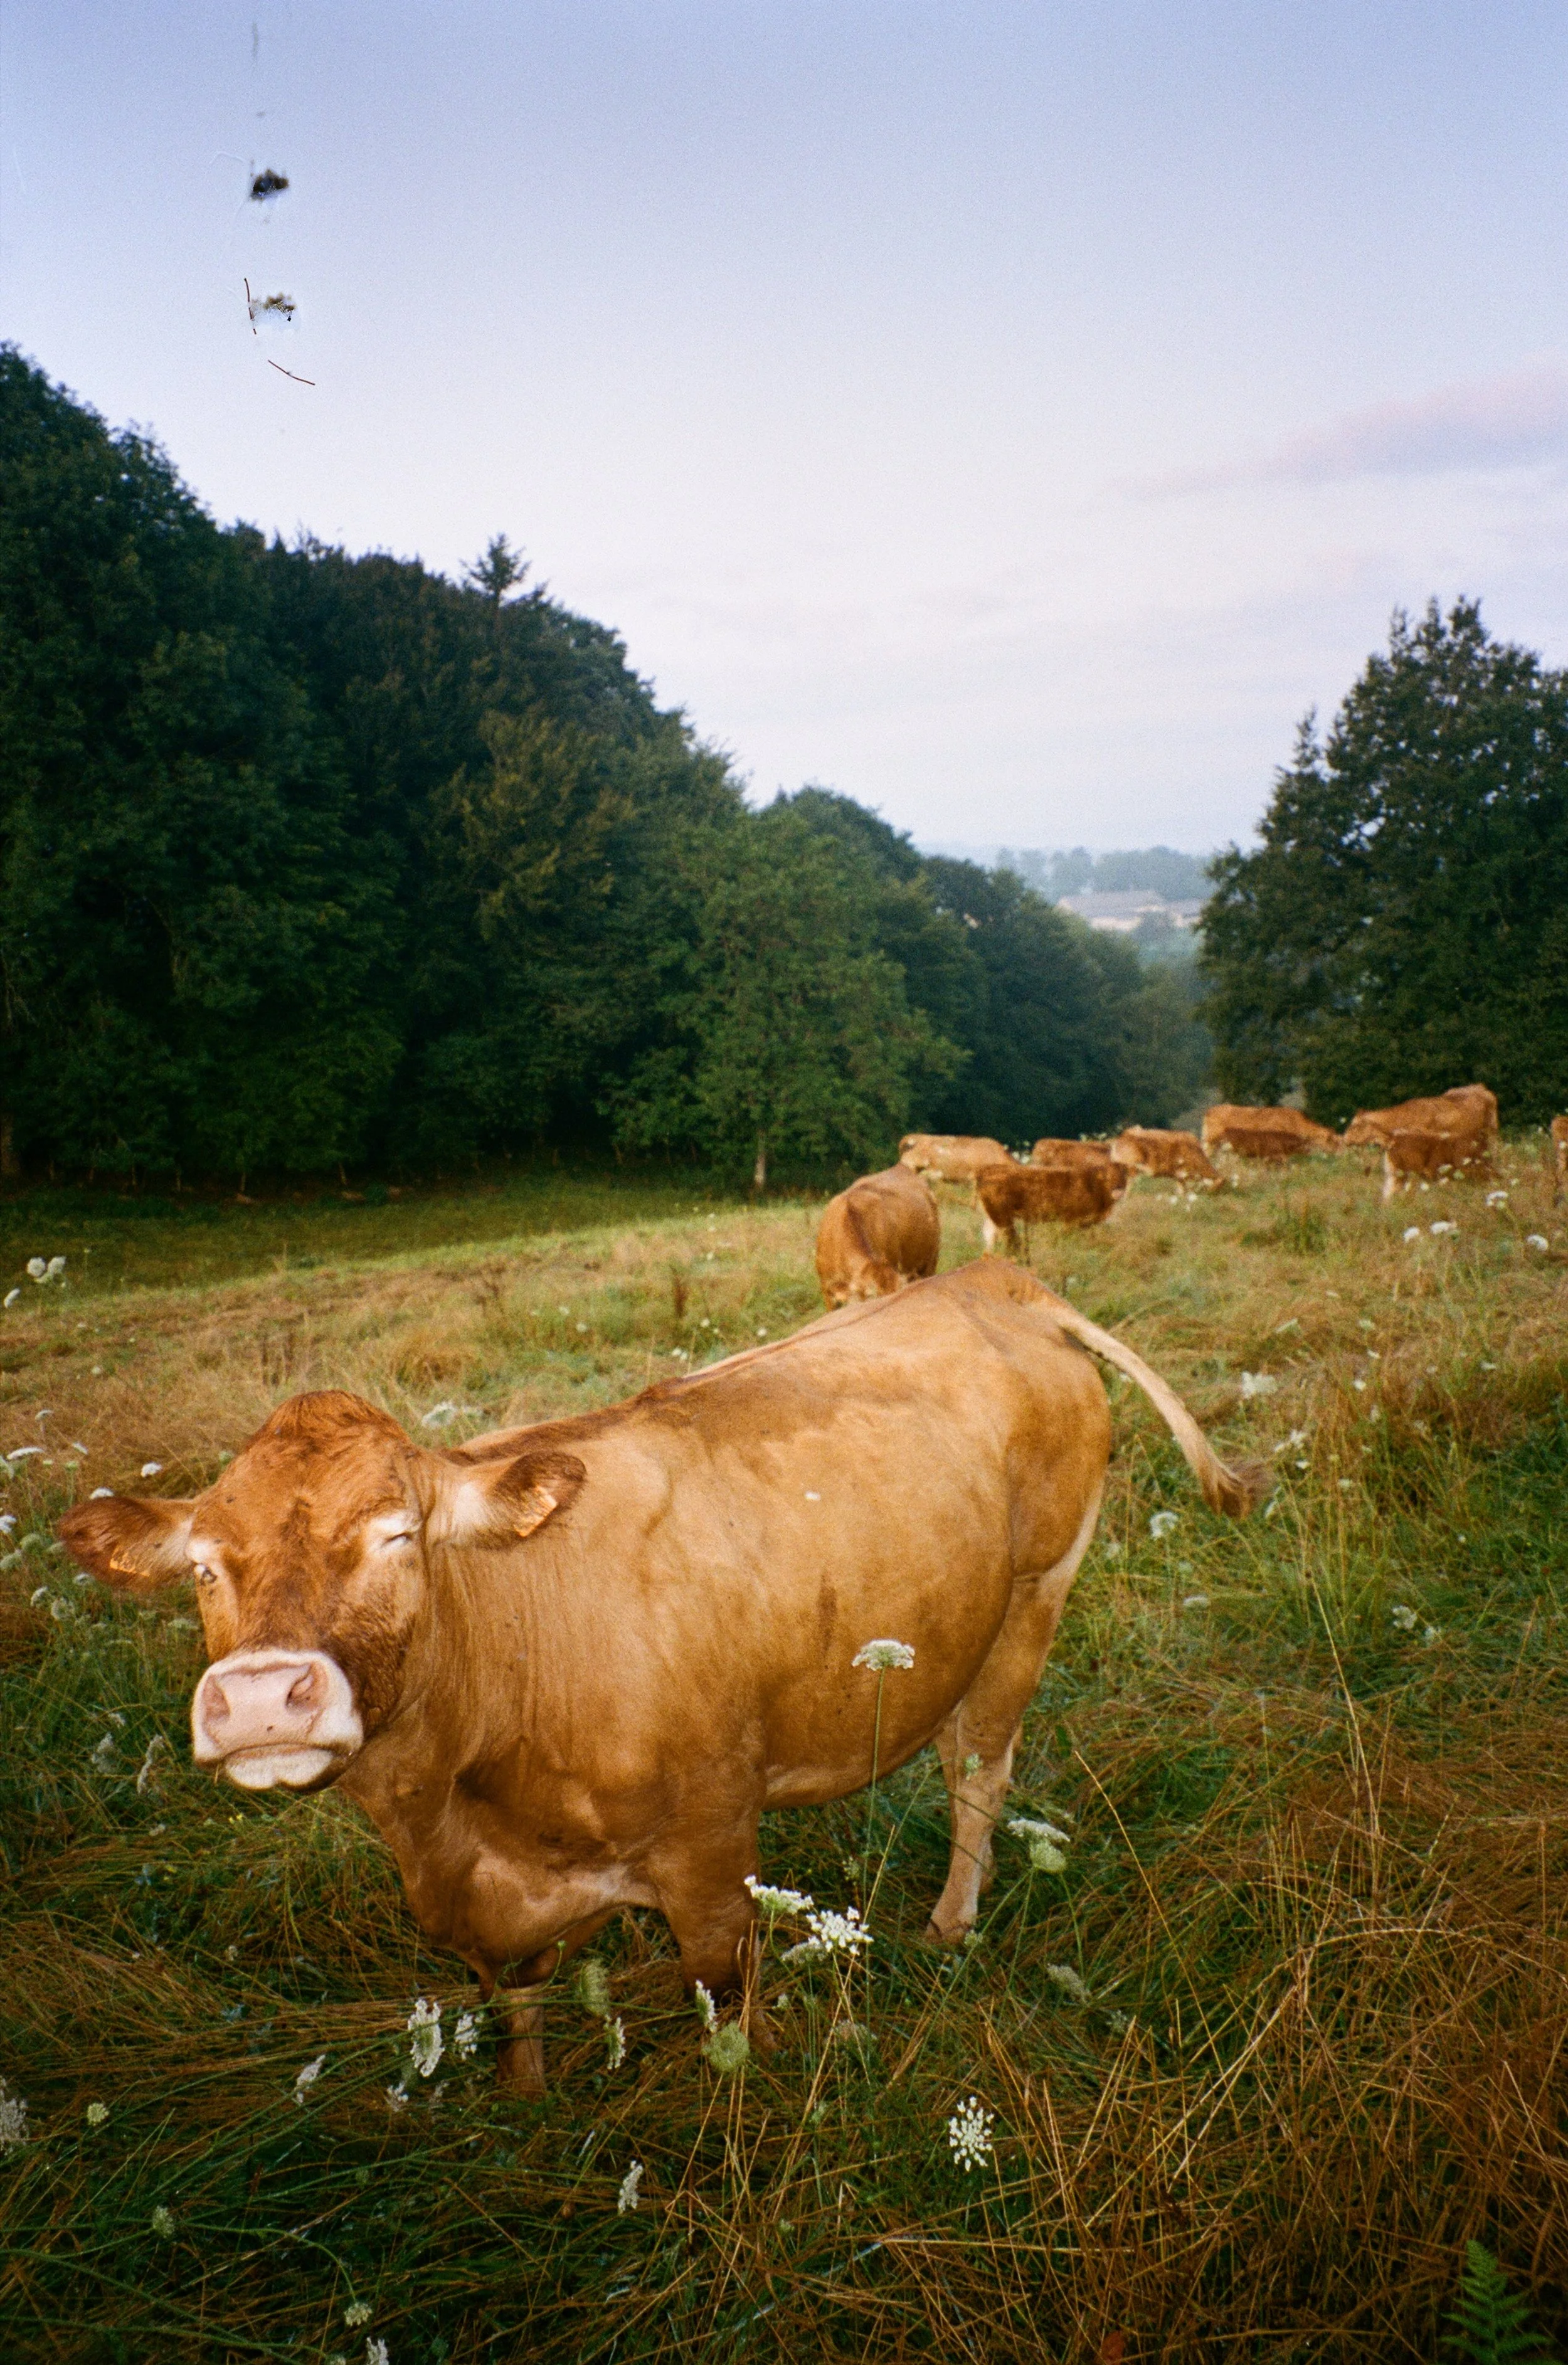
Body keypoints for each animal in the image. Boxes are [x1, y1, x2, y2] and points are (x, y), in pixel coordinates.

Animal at [58, 1263, 1259, 2094]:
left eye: (397, 1535)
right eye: (205, 1565)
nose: (265, 1697)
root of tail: (993, 1279)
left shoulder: (711, 1847)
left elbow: (727, 1995)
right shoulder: (488, 1912)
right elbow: (519, 2006)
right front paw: (528, 2107)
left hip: (1034, 1597)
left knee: (979, 1773)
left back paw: (949, 1923)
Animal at [976, 1157, 1129, 1251]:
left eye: (1123, 1176)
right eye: (1107, 1177)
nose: (1118, 1190)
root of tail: (988, 1169)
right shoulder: (1072, 1220)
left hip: (994, 1218)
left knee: (990, 1237)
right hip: (1002, 1218)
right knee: (1010, 1240)